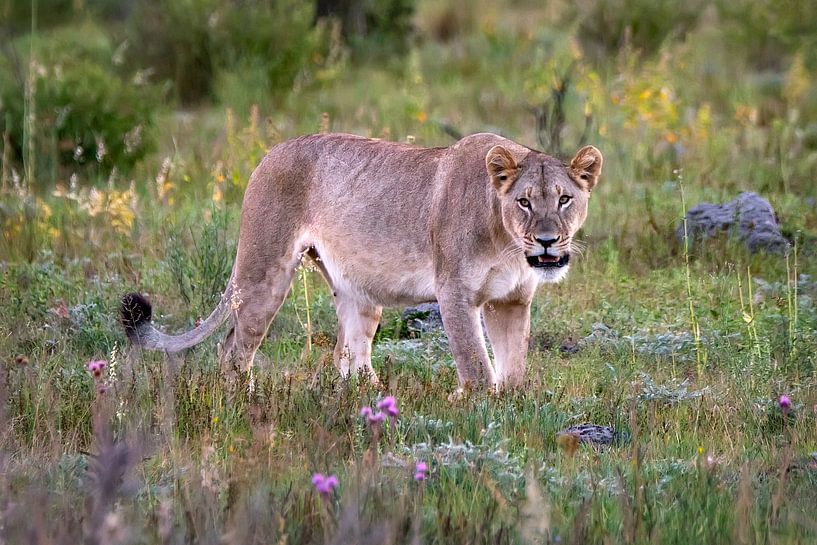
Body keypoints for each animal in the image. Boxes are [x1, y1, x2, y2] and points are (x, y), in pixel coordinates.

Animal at [121, 133, 602, 392]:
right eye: (524, 202)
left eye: (564, 199)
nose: (547, 242)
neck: (507, 243)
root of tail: (268, 154)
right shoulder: (454, 293)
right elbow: (476, 364)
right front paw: (476, 408)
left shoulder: (512, 301)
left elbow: (513, 367)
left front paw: (510, 407)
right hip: (263, 274)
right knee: (234, 348)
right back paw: (245, 404)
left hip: (356, 293)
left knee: (347, 354)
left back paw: (372, 400)